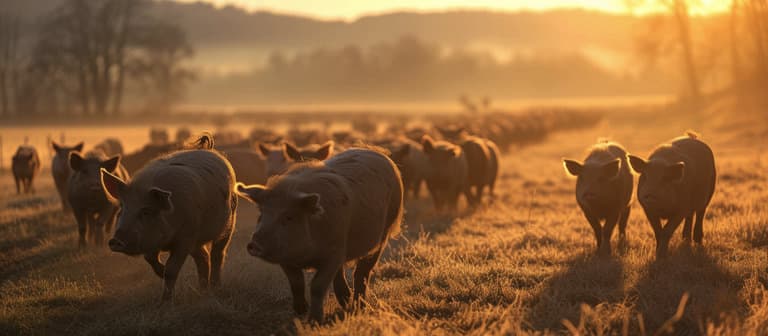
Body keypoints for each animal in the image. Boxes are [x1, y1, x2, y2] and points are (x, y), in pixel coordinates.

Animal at [102, 148, 238, 300]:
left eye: (146, 211)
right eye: (122, 208)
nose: (115, 241)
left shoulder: (185, 239)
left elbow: (171, 269)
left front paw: (165, 300)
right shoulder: (153, 240)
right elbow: (150, 258)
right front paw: (161, 273)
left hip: (229, 223)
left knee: (217, 255)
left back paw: (215, 288)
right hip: (197, 240)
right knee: (203, 258)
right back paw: (203, 290)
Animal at [237, 147, 404, 322]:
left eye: (288, 217)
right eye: (261, 214)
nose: (254, 244)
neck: (305, 256)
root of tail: (374, 151)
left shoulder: (333, 254)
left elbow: (317, 286)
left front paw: (314, 321)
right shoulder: (285, 258)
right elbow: (296, 283)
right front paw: (300, 312)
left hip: (383, 233)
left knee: (362, 273)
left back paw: (359, 307)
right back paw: (345, 301)